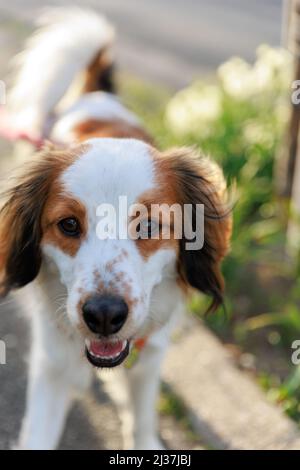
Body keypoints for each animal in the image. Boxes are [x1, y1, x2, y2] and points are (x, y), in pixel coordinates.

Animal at [0, 8, 232, 452]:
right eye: (68, 224)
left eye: (150, 225)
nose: (104, 315)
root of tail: (98, 94)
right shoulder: (52, 364)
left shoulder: (151, 353)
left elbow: (142, 416)